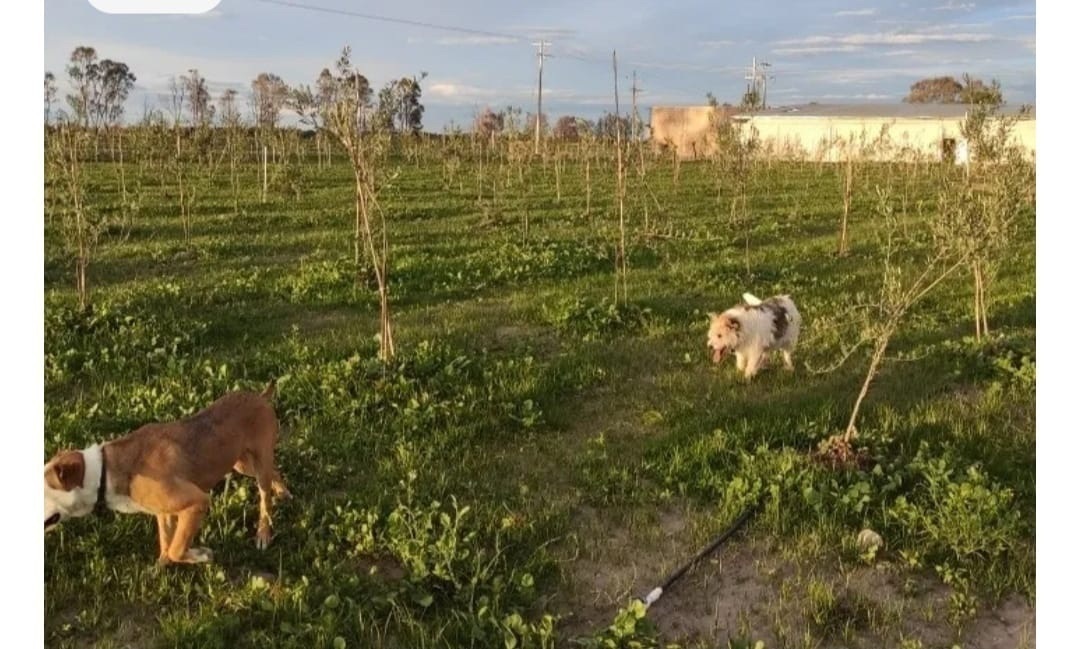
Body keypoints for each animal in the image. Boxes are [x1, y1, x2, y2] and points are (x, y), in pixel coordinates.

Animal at [44, 380, 289, 561]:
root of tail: (261, 397)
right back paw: (283, 492)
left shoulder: (197, 502)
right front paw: (161, 568)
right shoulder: (164, 512)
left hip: (256, 464)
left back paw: (263, 533)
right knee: (273, 472)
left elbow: (175, 549)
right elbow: (166, 544)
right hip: (241, 463)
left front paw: (199, 555)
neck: (104, 471)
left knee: (265, 499)